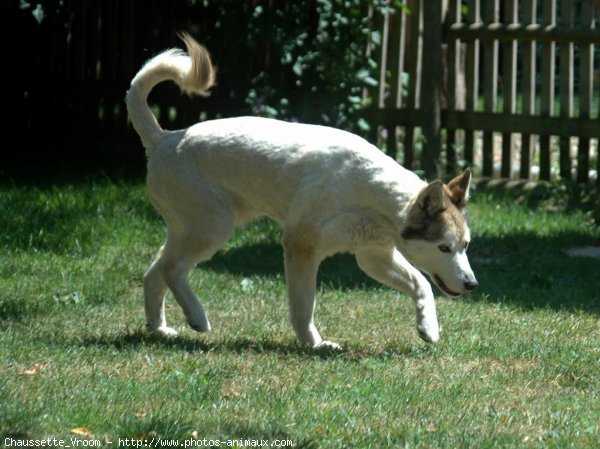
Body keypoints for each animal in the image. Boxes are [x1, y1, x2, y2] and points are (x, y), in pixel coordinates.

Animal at [126, 34, 478, 350]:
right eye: (444, 248)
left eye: (465, 246)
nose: (472, 284)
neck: (368, 190)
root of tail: (165, 138)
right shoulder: (301, 248)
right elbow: (304, 307)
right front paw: (315, 344)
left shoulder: (374, 256)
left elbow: (422, 284)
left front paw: (428, 328)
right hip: (213, 228)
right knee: (171, 269)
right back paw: (197, 316)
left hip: (193, 230)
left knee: (155, 271)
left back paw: (160, 329)